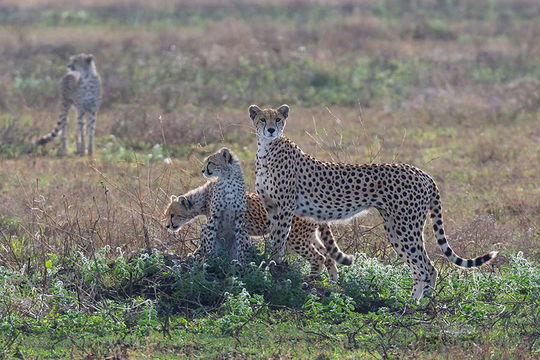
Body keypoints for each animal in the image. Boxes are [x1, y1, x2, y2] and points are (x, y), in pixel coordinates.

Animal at [249, 105, 498, 300]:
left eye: (278, 120)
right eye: (262, 119)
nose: (270, 130)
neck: (266, 150)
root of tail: (421, 172)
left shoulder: (285, 207)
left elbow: (279, 239)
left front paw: (275, 268)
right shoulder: (271, 206)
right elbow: (274, 238)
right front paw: (270, 264)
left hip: (406, 227)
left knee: (427, 267)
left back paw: (418, 305)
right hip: (395, 228)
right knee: (420, 266)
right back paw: (410, 302)